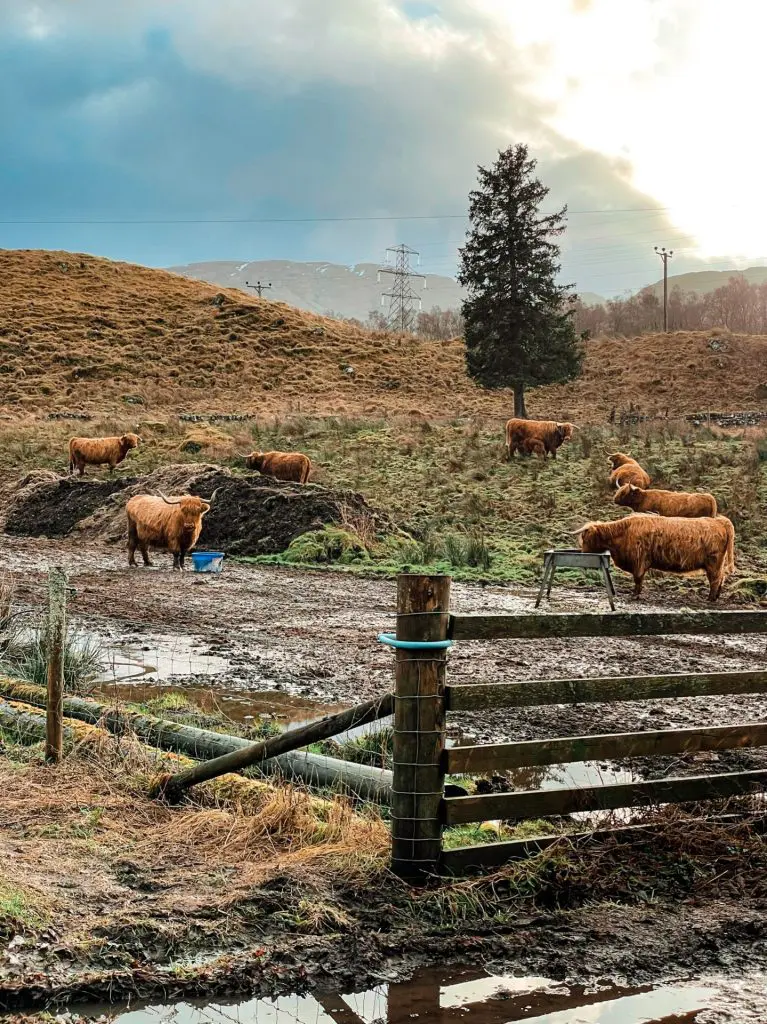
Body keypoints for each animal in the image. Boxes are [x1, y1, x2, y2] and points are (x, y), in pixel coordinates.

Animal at [574, 512, 735, 601]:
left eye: (586, 538)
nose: (582, 553)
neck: (623, 534)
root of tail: (719, 521)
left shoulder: (639, 561)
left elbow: (638, 579)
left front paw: (635, 595)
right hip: (717, 563)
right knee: (721, 577)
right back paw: (715, 597)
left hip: (713, 562)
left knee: (715, 579)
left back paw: (710, 598)